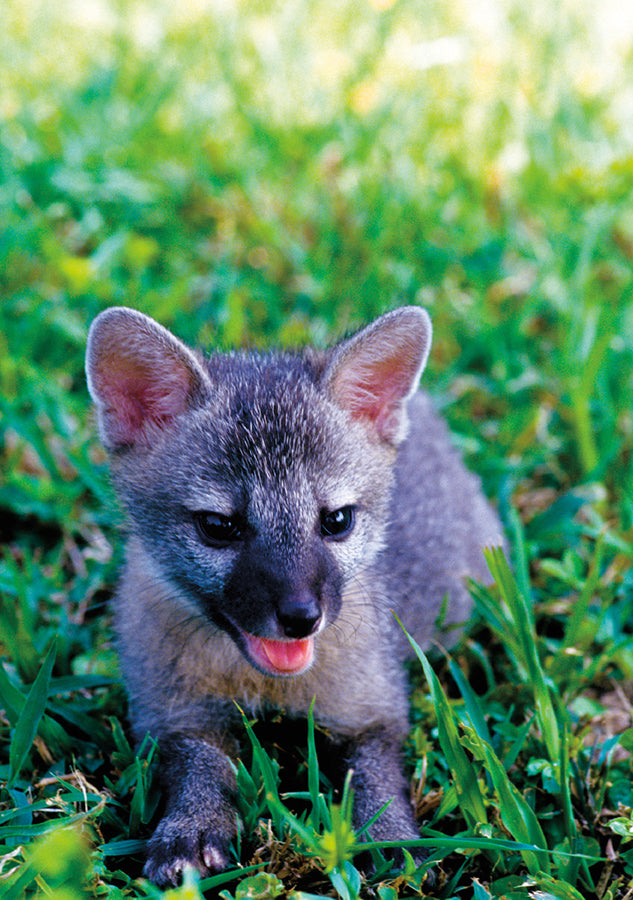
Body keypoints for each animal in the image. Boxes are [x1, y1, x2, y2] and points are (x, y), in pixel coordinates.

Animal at [85, 305, 503, 887]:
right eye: (219, 526)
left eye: (337, 520)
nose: (302, 617)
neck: (267, 690)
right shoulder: (173, 716)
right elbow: (199, 767)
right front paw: (191, 827)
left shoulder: (372, 710)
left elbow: (376, 778)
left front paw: (392, 838)